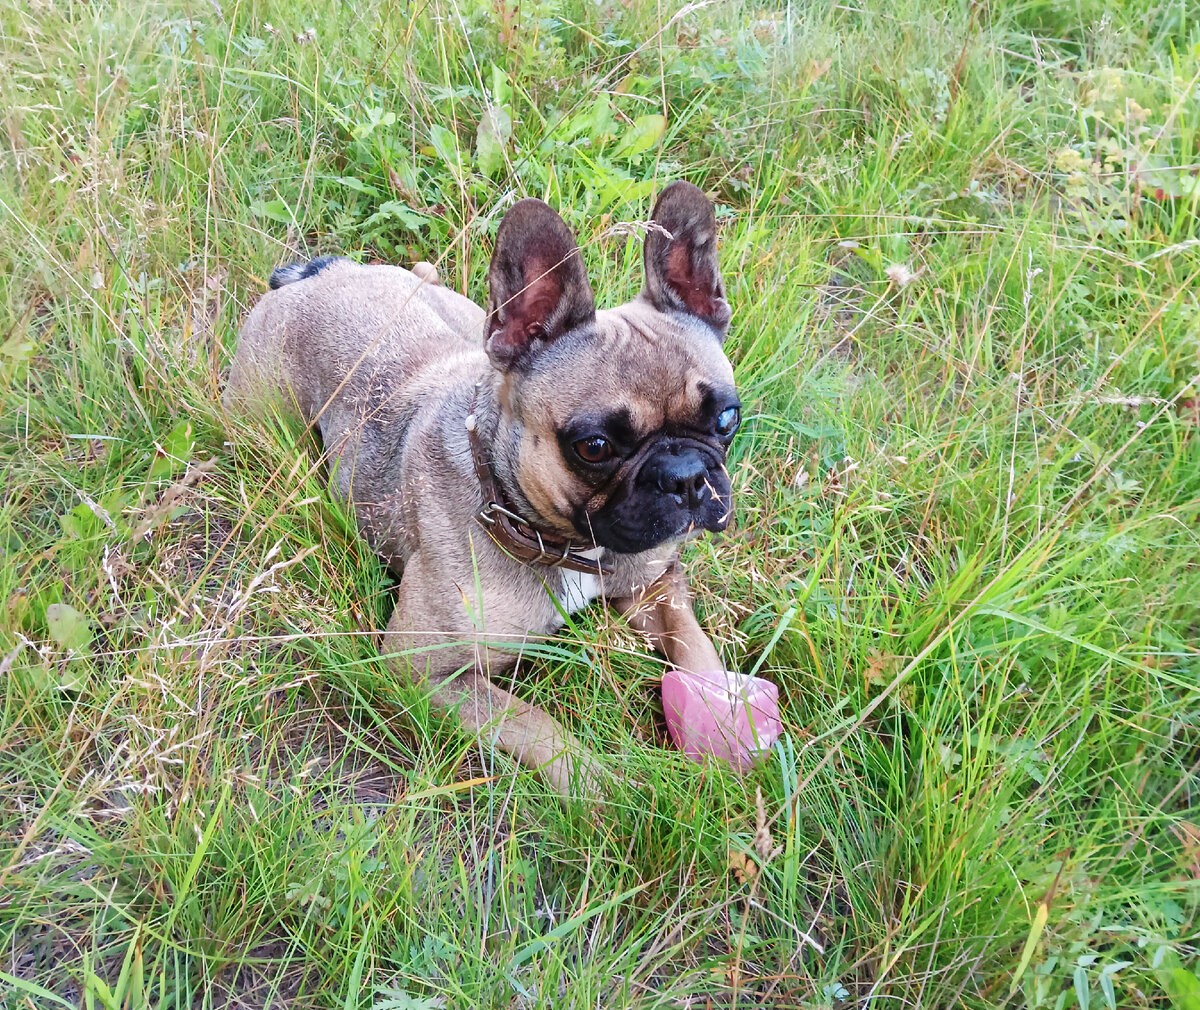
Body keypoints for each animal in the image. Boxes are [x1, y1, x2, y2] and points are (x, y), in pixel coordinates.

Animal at [220, 181, 734, 796]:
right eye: (594, 446)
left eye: (727, 418)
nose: (686, 476)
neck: (564, 544)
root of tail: (319, 275)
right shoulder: (425, 671)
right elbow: (537, 726)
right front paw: (611, 793)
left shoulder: (655, 582)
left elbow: (695, 646)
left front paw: (727, 722)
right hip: (268, 429)